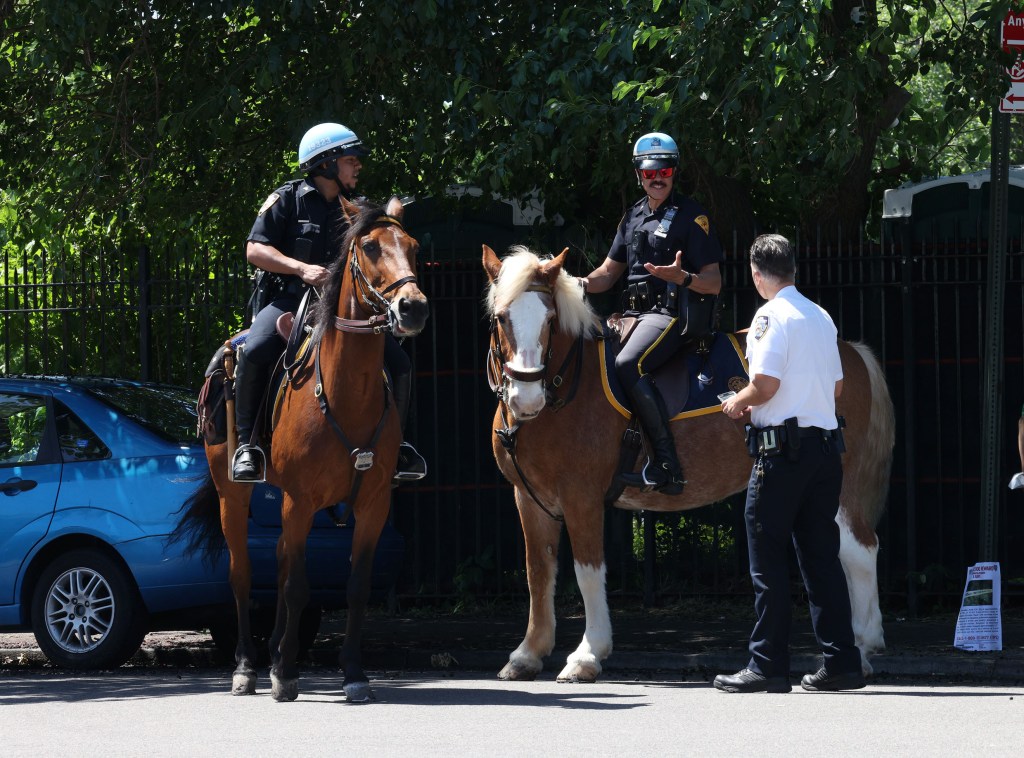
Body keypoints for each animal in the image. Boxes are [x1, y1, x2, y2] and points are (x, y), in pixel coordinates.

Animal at [174, 198, 425, 700]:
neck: (345, 393)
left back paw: (272, 654)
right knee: (243, 574)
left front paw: (353, 673)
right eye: (370, 247)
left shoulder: (372, 504)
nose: (413, 307)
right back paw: (248, 666)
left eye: (412, 246)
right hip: (234, 496)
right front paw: (286, 674)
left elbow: (354, 586)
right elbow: (296, 588)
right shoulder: (301, 500)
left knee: (279, 561)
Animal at [483, 245, 892, 684]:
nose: (526, 399)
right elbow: (538, 572)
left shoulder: (582, 499)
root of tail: (849, 351)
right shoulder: (529, 498)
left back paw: (860, 650)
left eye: (549, 319)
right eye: (501, 318)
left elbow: (587, 573)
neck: (569, 385)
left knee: (859, 552)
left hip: (840, 489)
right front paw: (528, 653)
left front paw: (587, 655)